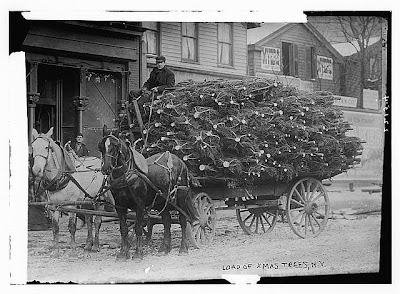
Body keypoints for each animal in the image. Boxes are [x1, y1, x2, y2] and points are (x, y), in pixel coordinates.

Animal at [30, 127, 112, 256]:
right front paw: (55, 248)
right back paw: (88, 245)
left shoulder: (71, 205)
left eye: (47, 147)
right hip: (87, 201)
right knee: (89, 221)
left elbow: (72, 226)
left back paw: (95, 246)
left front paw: (73, 247)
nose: (36, 170)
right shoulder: (54, 205)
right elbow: (55, 227)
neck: (61, 177)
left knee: (97, 222)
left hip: (100, 200)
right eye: (33, 147)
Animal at [99, 129, 198, 260]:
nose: (105, 168)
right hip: (162, 201)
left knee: (182, 220)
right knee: (167, 221)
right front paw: (122, 254)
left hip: (181, 198)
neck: (126, 175)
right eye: (101, 146)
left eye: (115, 146)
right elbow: (123, 229)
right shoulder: (120, 206)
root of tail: (181, 162)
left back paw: (183, 249)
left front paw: (138, 254)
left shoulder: (139, 204)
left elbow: (138, 228)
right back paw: (164, 249)